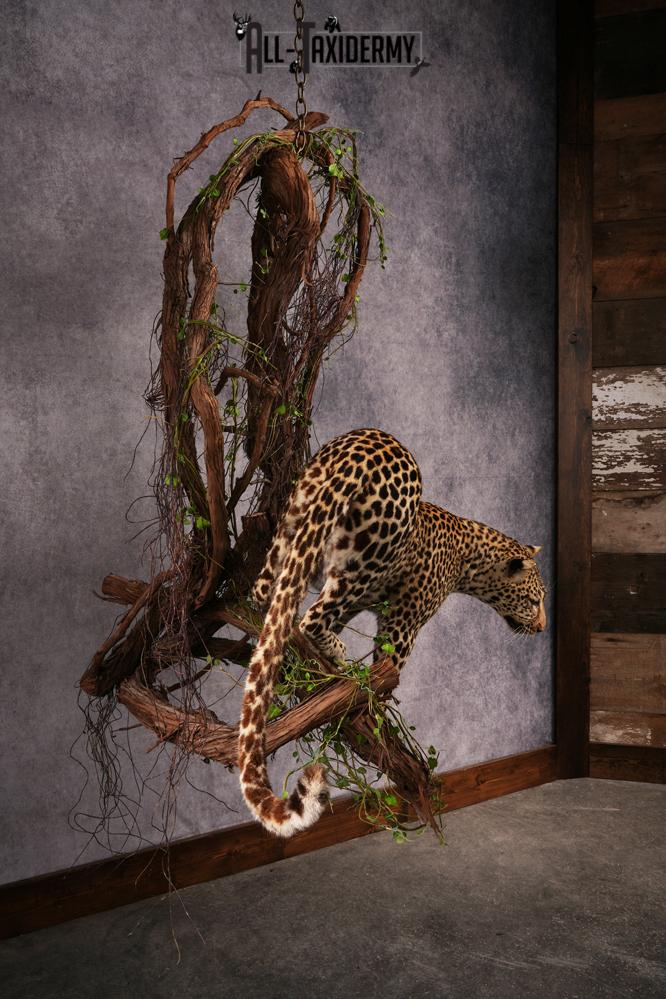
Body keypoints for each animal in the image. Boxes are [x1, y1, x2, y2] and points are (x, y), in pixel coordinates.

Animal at [239, 427, 547, 837]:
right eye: (533, 601)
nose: (542, 627)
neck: (468, 561)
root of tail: (358, 450)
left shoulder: (364, 606)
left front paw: (325, 680)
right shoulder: (402, 622)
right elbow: (386, 674)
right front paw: (377, 719)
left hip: (293, 526)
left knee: (266, 597)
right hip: (363, 559)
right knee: (310, 619)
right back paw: (341, 663)